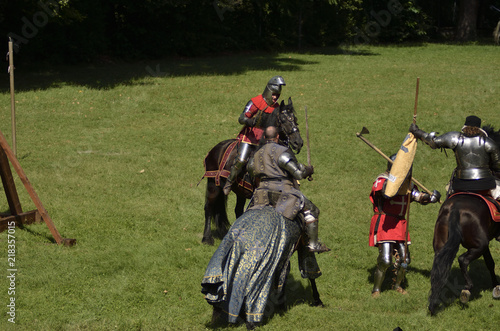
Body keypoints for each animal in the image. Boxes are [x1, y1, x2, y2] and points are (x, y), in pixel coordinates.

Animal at [200, 96, 302, 246]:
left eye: (294, 118)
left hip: (239, 191)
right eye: (283, 120)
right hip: (213, 184)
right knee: (209, 207)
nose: (298, 143)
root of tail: (216, 148)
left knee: (237, 210)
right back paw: (207, 238)